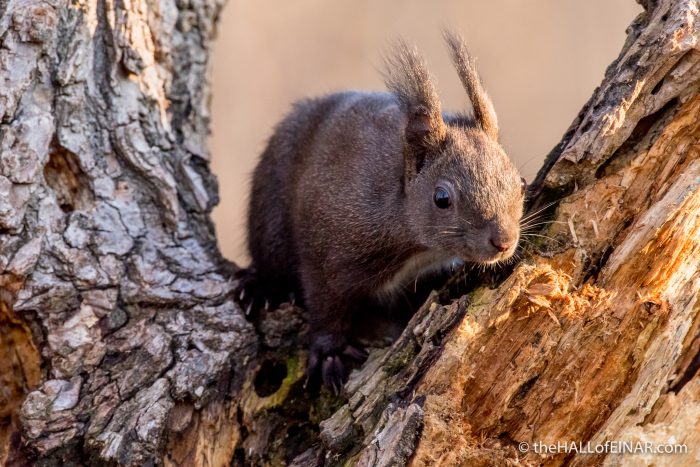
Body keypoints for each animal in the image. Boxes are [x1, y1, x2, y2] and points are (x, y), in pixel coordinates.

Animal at [236, 32, 525, 391]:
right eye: (442, 198)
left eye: (521, 183)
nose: (504, 242)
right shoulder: (329, 248)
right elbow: (325, 302)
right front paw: (330, 353)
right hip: (269, 212)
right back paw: (262, 288)